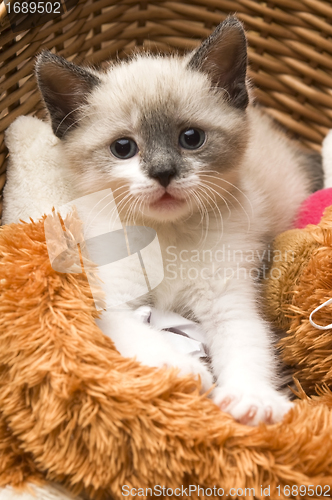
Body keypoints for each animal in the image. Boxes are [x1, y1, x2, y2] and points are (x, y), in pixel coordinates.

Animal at [35, 17, 322, 424]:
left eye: (191, 138)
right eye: (123, 148)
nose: (163, 173)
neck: (166, 234)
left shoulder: (229, 298)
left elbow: (248, 343)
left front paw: (252, 399)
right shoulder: (109, 301)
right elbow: (140, 334)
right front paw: (184, 371)